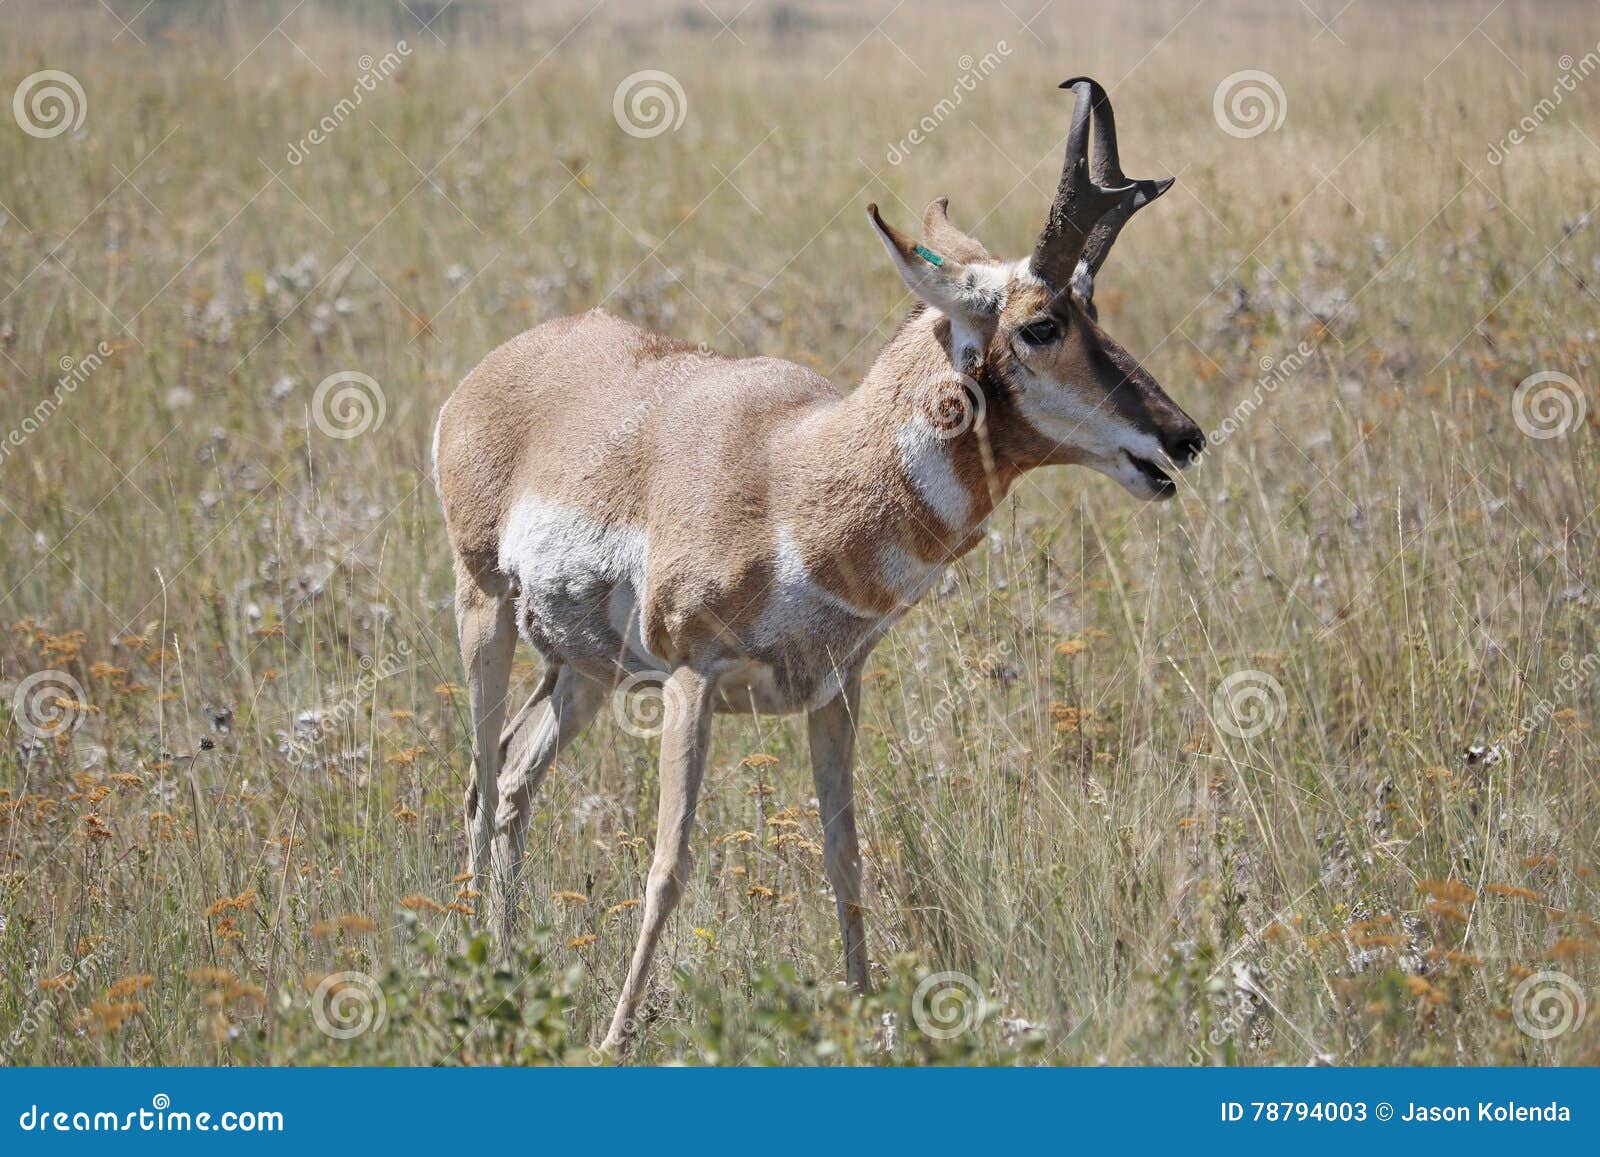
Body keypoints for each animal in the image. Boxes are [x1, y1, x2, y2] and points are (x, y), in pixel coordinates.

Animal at [433, 77, 1203, 1053]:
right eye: (1042, 323)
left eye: (1096, 306)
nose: (1184, 437)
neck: (792, 468)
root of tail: (501, 366)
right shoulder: (691, 677)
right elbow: (669, 863)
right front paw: (612, 1039)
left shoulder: (836, 690)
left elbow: (846, 857)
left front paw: (868, 1016)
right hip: (485, 606)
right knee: (476, 780)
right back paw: (472, 966)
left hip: (584, 671)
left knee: (511, 777)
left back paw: (502, 960)